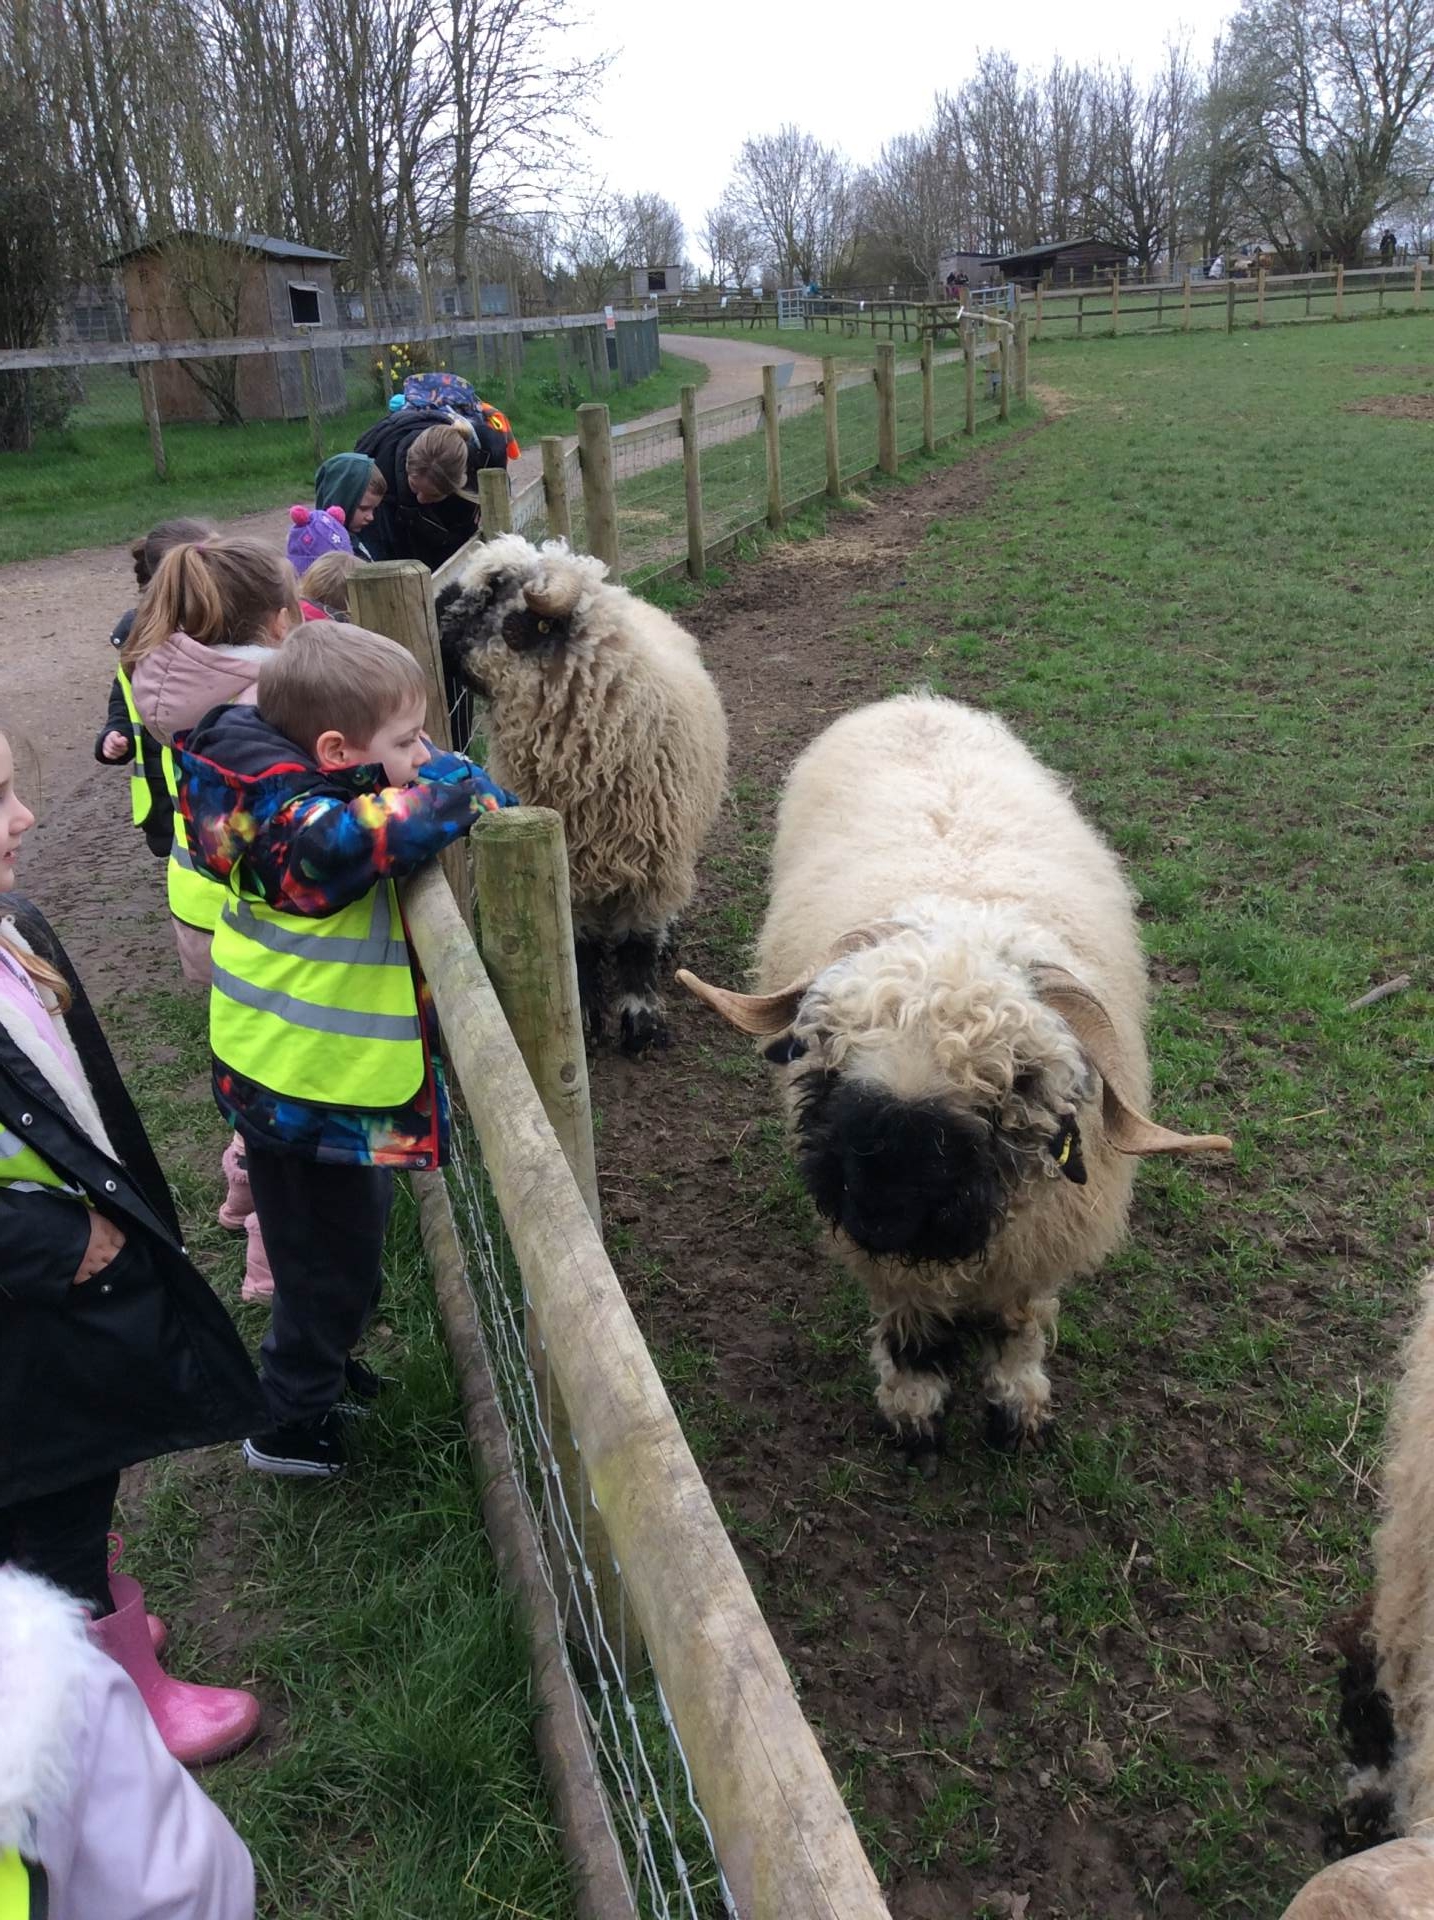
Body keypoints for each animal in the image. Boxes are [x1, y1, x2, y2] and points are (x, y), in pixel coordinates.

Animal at [435, 533, 728, 1055]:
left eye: (493, 592)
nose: (433, 606)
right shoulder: (570, 866)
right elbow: (581, 945)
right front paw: (589, 1016)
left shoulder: (652, 866)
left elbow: (638, 943)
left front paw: (641, 1022)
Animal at [678, 694, 1231, 1459]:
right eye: (826, 1046)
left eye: (1018, 1080)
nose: (881, 1204)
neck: (963, 905)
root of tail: (914, 699)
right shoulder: (889, 1261)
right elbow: (911, 1326)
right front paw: (913, 1413)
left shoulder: (1033, 1252)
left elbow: (1017, 1326)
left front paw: (1017, 1410)